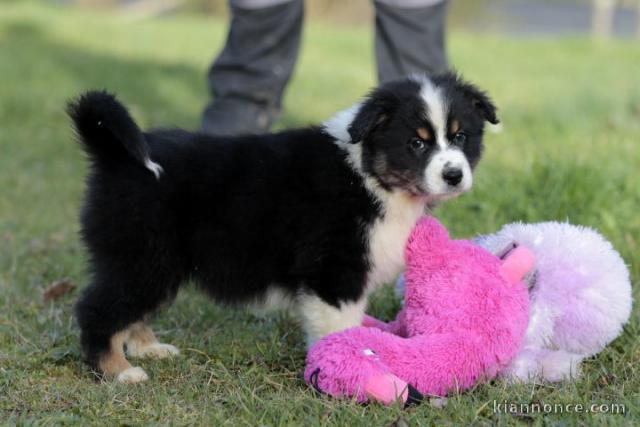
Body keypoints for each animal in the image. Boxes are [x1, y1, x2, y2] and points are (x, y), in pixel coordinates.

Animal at [71, 72, 500, 382]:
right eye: (417, 143)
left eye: (460, 136)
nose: (454, 175)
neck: (369, 175)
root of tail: (116, 156)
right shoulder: (334, 272)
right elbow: (340, 330)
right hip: (145, 256)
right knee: (98, 308)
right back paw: (120, 372)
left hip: (155, 263)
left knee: (132, 309)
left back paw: (148, 349)